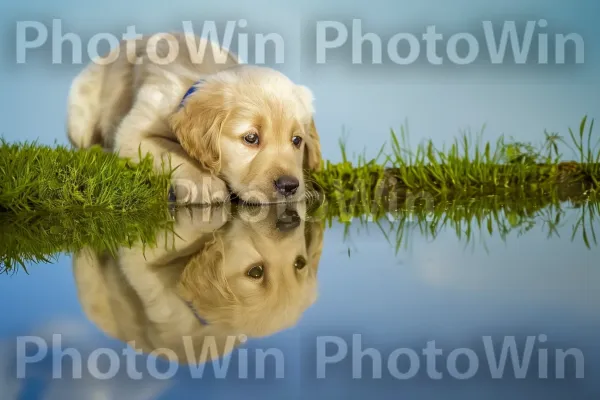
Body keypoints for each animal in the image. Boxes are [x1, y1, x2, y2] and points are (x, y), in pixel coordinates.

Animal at [66, 32, 324, 205]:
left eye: (297, 141)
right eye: (251, 138)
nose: (289, 186)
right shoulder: (133, 131)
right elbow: (171, 150)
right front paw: (204, 183)